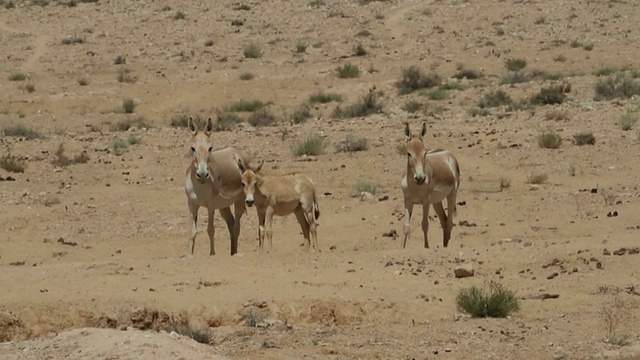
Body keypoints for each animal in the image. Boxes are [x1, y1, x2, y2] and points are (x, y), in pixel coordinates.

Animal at [184, 118, 249, 256]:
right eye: (193, 148)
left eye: (210, 148)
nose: (202, 174)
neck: (199, 186)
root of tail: (235, 151)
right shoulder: (192, 204)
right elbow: (192, 232)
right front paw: (189, 255)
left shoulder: (211, 205)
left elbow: (210, 229)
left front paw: (212, 254)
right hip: (223, 206)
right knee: (231, 223)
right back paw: (232, 252)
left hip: (239, 201)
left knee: (236, 226)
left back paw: (234, 253)